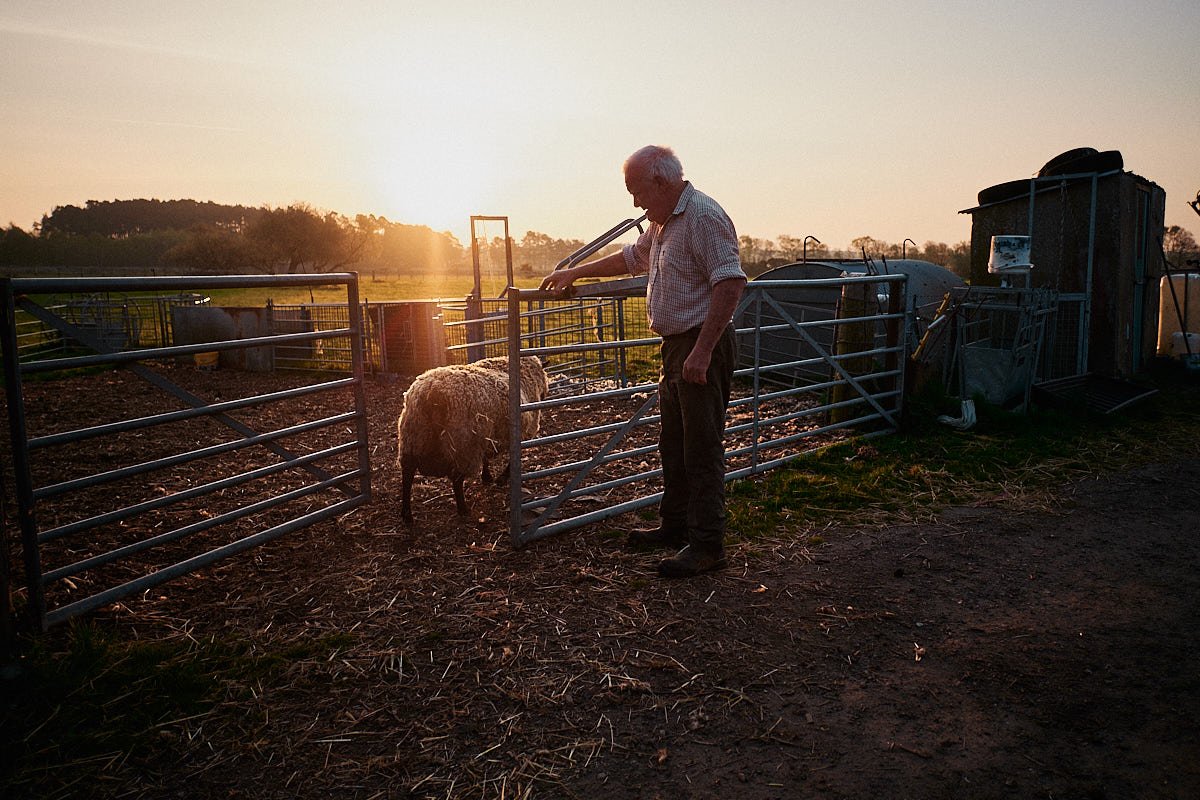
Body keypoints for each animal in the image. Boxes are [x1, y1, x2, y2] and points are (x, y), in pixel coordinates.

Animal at [398, 357, 549, 525]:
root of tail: (432, 393)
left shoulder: (485, 435)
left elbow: (486, 458)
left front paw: (487, 477)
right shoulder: (516, 434)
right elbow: (512, 460)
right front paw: (502, 478)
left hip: (413, 438)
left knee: (407, 475)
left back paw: (407, 514)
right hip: (462, 446)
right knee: (456, 480)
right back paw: (463, 509)